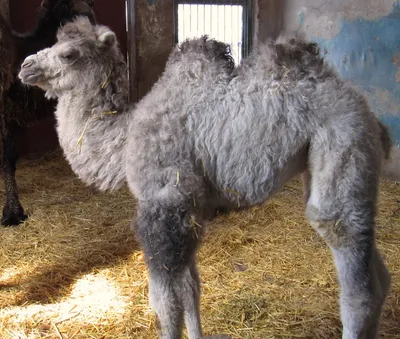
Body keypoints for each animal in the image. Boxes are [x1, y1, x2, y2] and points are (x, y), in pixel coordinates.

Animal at [19, 17, 390, 338]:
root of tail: (367, 112)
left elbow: (164, 302)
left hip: (344, 143)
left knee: (353, 276)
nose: (25, 66)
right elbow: (190, 288)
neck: (124, 137)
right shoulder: (191, 208)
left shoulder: (165, 204)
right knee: (380, 276)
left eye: (69, 53)